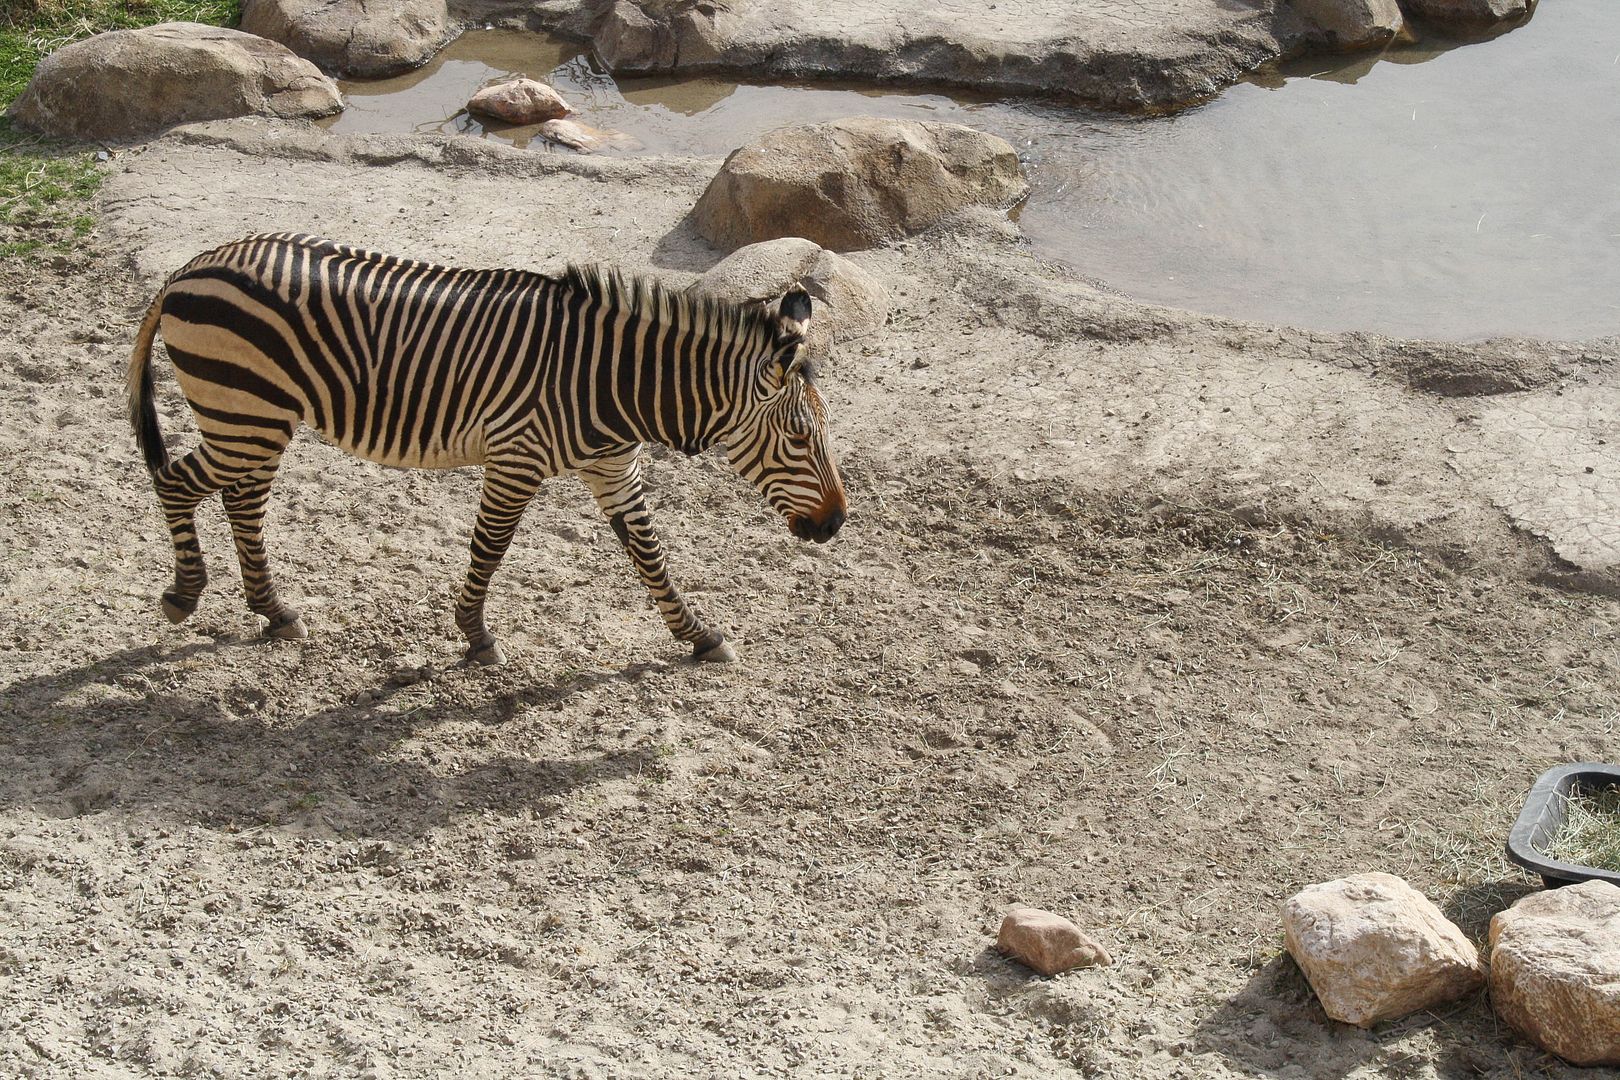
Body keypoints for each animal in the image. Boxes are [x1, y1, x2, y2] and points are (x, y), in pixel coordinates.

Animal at [126, 233, 848, 663]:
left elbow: (650, 554)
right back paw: (186, 595)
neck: (612, 381)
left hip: (255, 421)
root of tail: (192, 266)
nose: (838, 523)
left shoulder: (614, 468)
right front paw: (476, 636)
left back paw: (272, 611)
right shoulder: (516, 458)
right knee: (177, 482)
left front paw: (697, 635)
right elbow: (492, 548)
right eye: (798, 437)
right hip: (245, 413)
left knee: (239, 503)